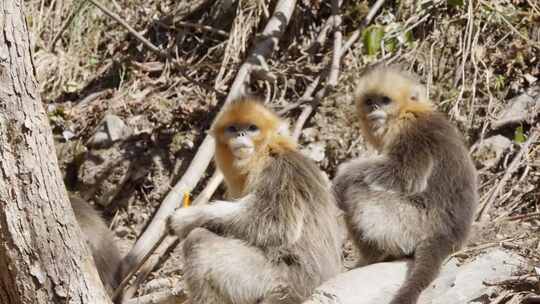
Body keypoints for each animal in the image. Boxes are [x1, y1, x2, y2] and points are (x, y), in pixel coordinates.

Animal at [169, 98, 340, 304]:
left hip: (272, 278)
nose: (241, 134)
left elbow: (278, 225)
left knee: (198, 240)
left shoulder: (279, 172)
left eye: (252, 128)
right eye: (233, 128)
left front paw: (188, 218)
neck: (266, 153)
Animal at [334, 67, 476, 304]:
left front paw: (342, 175)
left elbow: (404, 175)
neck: (404, 112)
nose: (374, 108)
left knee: (355, 192)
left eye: (384, 100)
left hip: (409, 224)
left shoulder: (411, 128)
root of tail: (447, 236)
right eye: (370, 101)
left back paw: (373, 256)